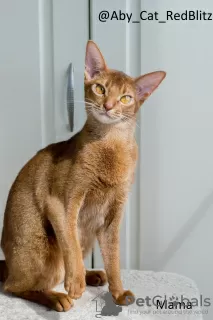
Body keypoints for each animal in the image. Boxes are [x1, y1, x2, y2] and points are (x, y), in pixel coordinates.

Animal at [0, 40, 166, 312]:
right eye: (100, 88)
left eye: (126, 98)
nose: (108, 106)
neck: (110, 146)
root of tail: (9, 263)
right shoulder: (60, 203)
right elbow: (71, 244)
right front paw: (75, 283)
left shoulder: (113, 215)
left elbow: (114, 259)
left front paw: (118, 293)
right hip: (41, 250)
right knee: (15, 286)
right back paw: (57, 297)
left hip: (87, 234)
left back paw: (94, 275)